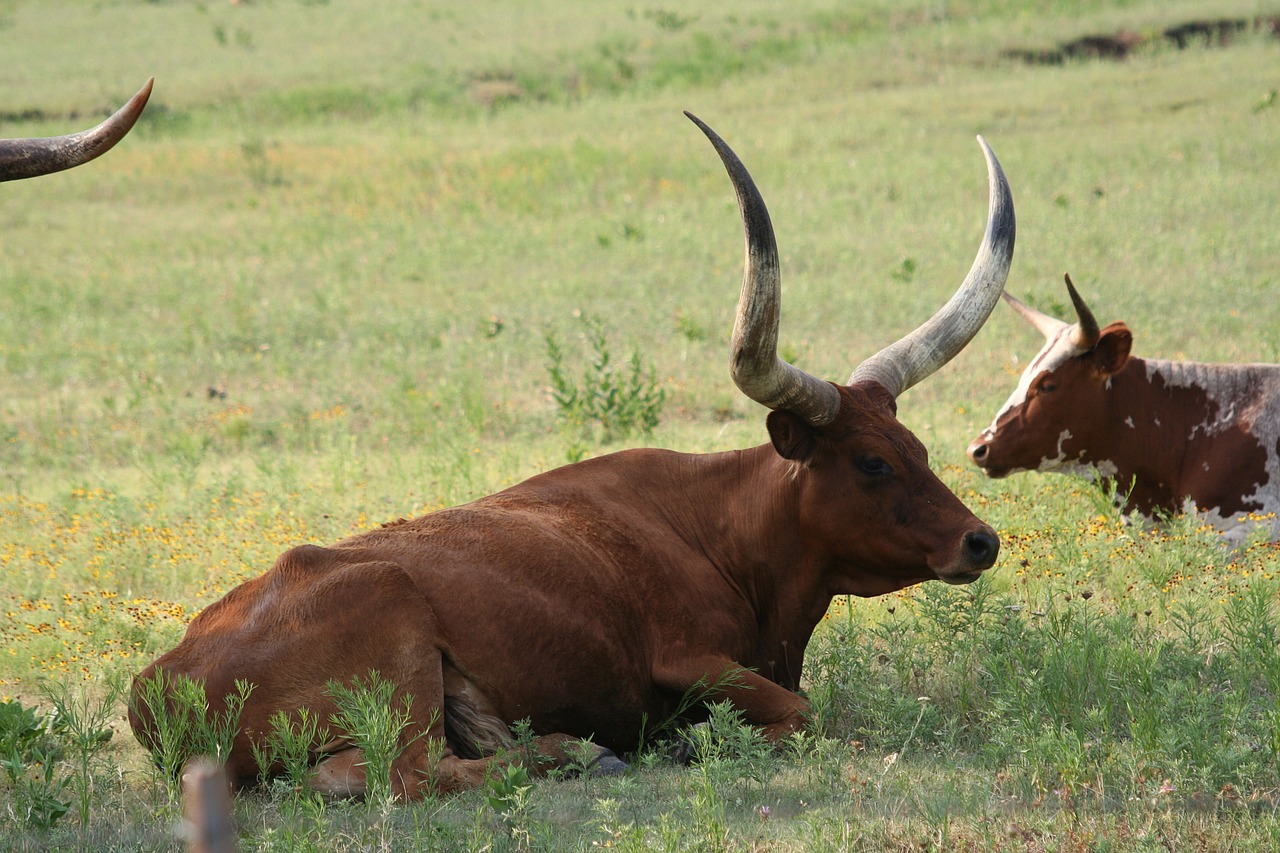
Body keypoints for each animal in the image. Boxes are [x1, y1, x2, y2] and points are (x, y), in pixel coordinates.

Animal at [124, 114, 1013, 799]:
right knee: (397, 773)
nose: (980, 540)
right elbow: (801, 713)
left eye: (916, 446)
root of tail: (152, 684)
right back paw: (578, 752)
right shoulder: (685, 658)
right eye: (869, 462)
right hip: (393, 623)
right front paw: (691, 741)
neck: (721, 528)